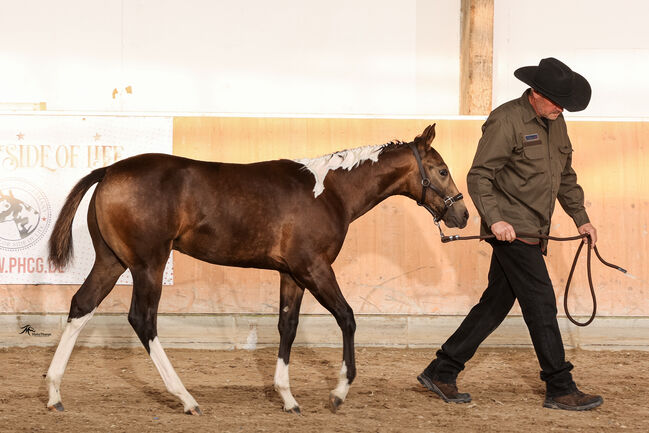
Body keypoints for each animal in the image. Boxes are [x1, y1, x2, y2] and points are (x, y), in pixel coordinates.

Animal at [46, 123, 466, 414]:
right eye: (442, 170)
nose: (461, 215)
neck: (329, 192)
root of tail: (109, 170)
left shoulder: (292, 274)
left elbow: (287, 327)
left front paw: (288, 398)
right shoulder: (315, 268)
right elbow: (347, 317)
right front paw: (338, 391)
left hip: (112, 261)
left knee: (81, 305)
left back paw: (53, 392)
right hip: (148, 264)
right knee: (142, 320)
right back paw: (186, 398)